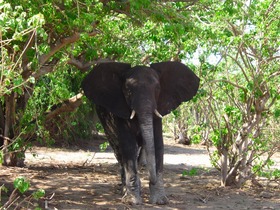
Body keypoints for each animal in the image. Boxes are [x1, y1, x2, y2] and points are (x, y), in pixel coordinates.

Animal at [82, 61, 200, 205]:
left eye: (158, 89)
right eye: (128, 90)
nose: (151, 180)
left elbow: (158, 145)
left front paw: (160, 201)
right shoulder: (121, 111)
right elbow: (128, 146)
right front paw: (132, 201)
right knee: (119, 152)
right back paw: (124, 190)